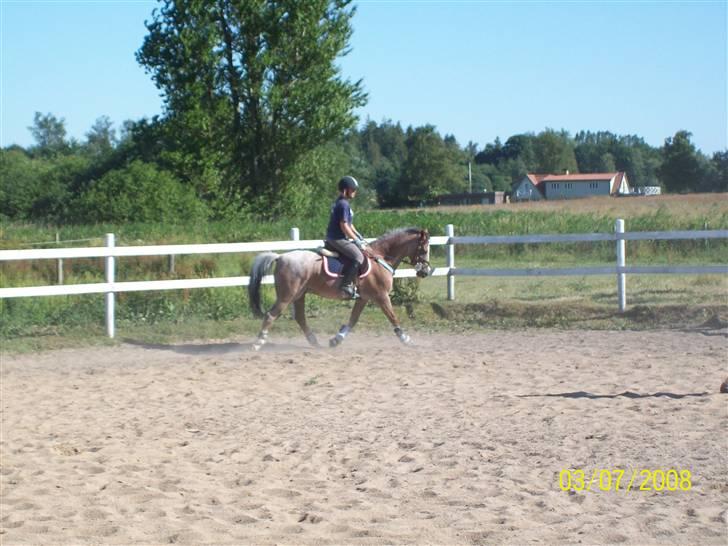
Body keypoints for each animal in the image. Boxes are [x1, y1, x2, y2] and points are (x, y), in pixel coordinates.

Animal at [250, 226, 432, 348]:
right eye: (424, 249)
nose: (425, 271)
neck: (380, 258)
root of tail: (280, 257)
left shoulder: (364, 298)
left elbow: (353, 319)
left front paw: (336, 339)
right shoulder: (381, 296)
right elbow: (393, 317)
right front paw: (406, 339)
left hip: (299, 294)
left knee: (300, 317)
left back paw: (314, 342)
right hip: (286, 295)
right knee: (271, 315)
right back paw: (258, 342)